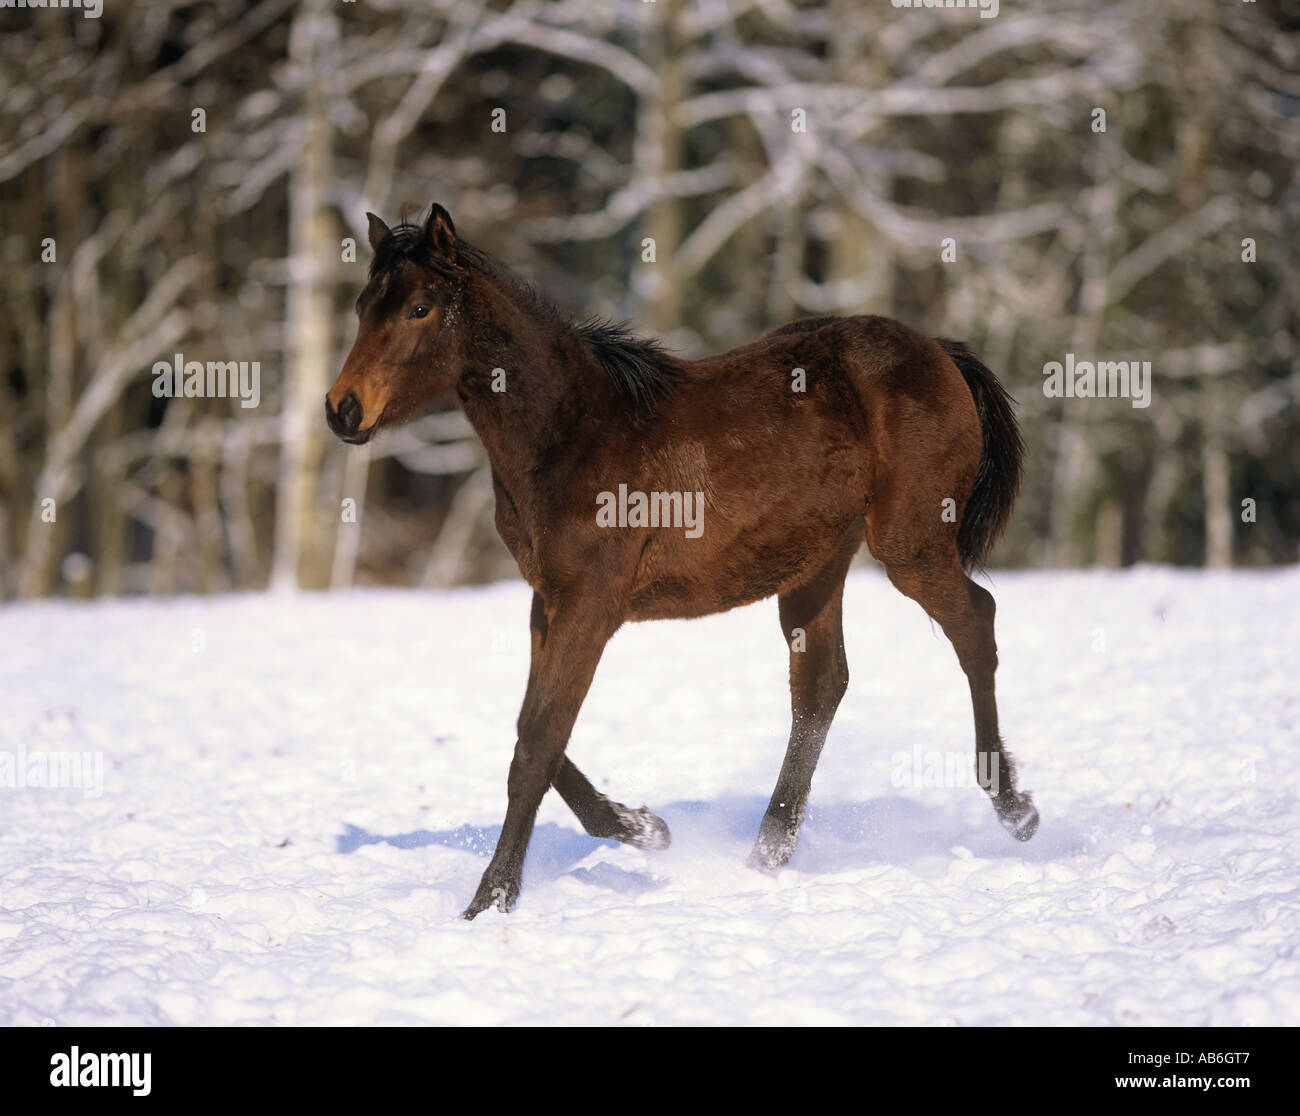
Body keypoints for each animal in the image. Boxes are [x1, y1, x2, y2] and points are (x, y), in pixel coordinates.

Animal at [330, 204, 1040, 915]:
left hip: (908, 543)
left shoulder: (592, 604)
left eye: (420, 308)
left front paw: (491, 898)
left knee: (975, 622)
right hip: (816, 564)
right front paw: (642, 827)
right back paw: (765, 854)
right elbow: (536, 727)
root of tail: (940, 351)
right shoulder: (548, 600)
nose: (343, 409)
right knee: (821, 685)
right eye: (363, 305)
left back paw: (1015, 809)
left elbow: (536, 741)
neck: (572, 432)